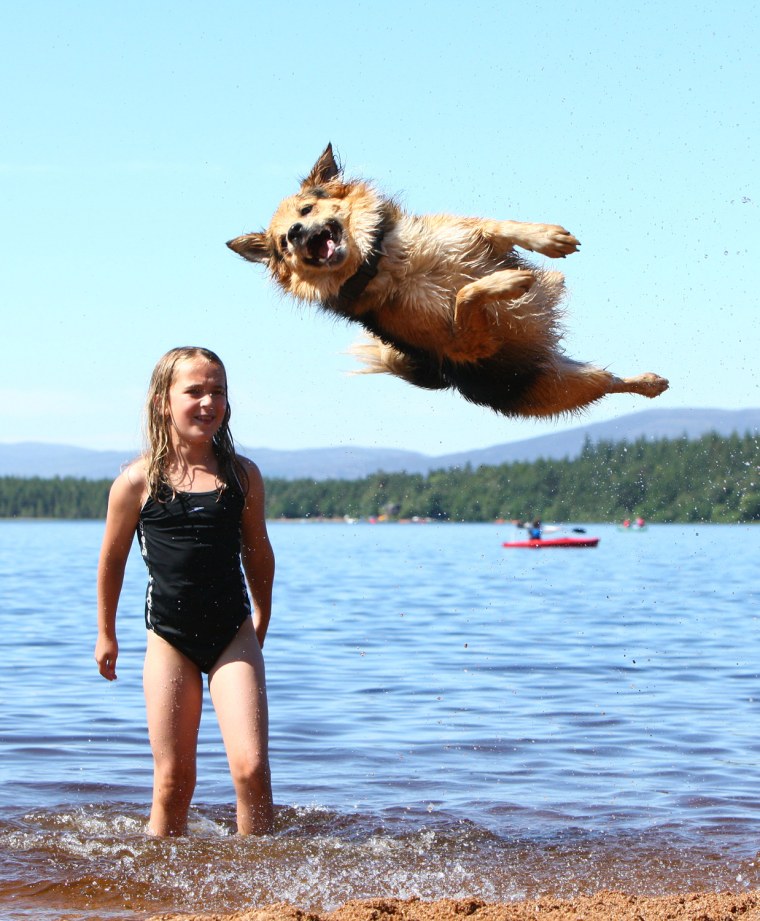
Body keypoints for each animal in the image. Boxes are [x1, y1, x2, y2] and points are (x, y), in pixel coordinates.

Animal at [229, 146, 668, 416]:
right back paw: (649, 383)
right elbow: (466, 294)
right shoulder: (467, 346)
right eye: (283, 243)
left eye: (306, 209)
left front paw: (548, 239)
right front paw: (510, 282)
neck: (385, 262)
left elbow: (500, 226)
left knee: (614, 379)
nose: (296, 235)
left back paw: (649, 380)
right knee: (608, 383)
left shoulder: (466, 233)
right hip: (562, 387)